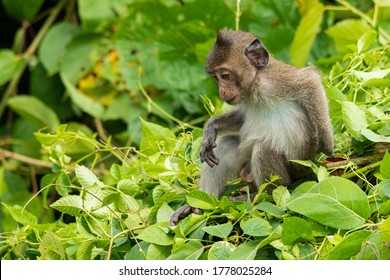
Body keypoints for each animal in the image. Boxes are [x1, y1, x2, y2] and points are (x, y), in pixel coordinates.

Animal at [169, 29, 334, 225]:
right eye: (216, 78)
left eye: (225, 76)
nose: (222, 92)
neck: (255, 85)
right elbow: (241, 118)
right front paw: (211, 128)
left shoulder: (278, 80)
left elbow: (311, 82)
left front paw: (326, 143)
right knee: (226, 145)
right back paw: (199, 206)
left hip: (296, 170)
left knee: (264, 149)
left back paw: (263, 196)